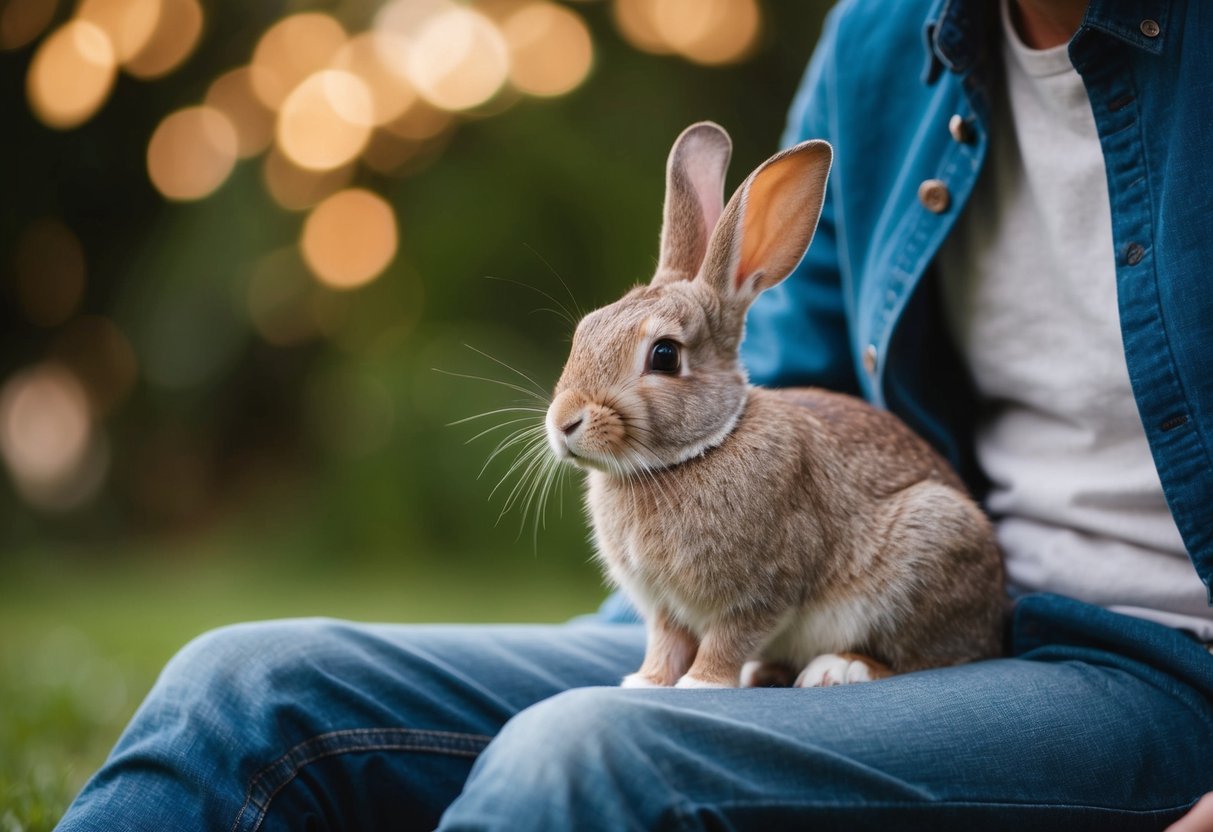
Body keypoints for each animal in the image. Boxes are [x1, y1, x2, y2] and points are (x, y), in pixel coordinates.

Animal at [544, 122, 1005, 689]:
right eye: (585, 329)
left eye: (665, 355)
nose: (564, 423)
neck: (701, 449)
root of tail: (998, 618)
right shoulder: (667, 610)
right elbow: (666, 643)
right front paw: (647, 682)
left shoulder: (762, 589)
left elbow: (728, 637)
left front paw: (700, 684)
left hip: (932, 542)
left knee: (924, 656)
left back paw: (838, 668)